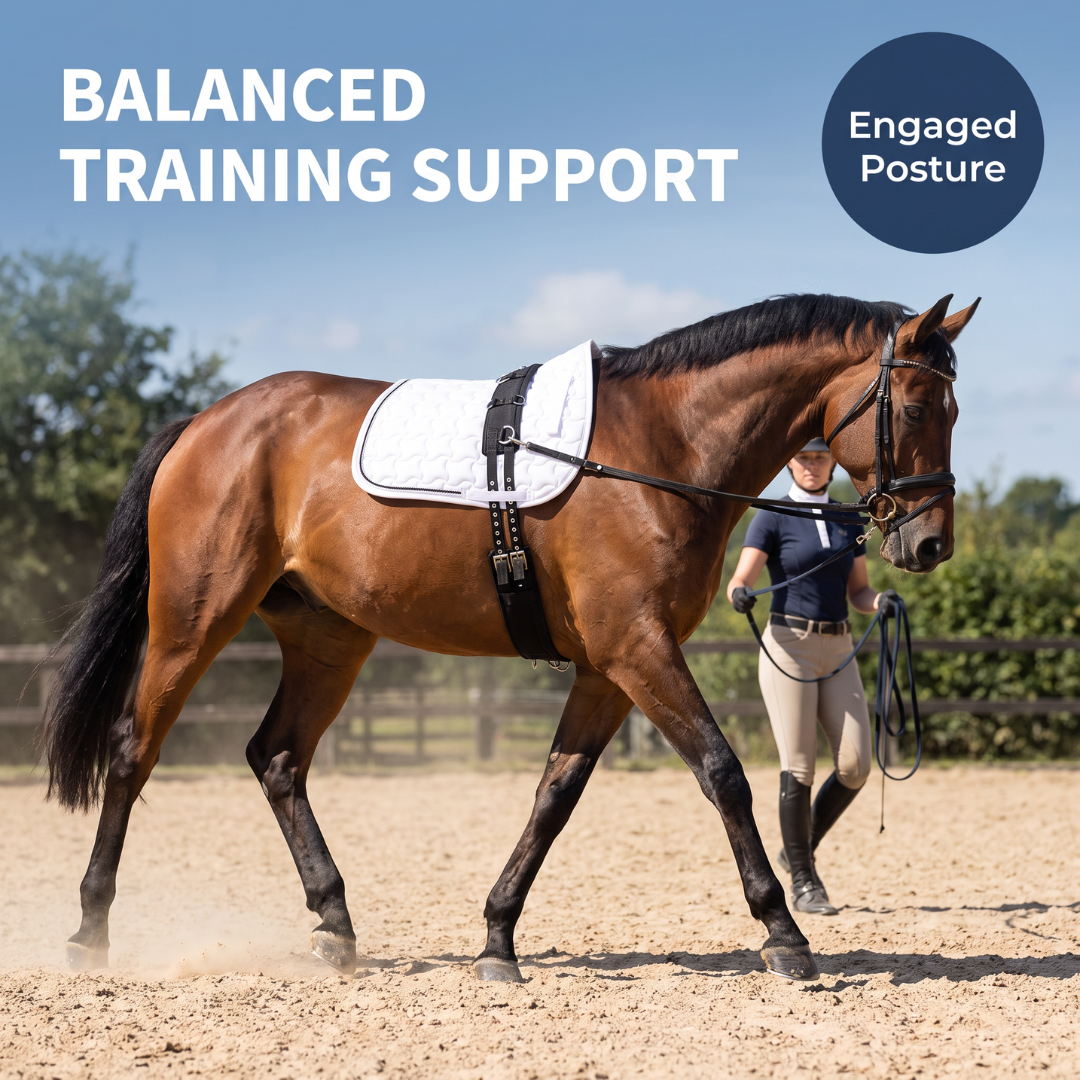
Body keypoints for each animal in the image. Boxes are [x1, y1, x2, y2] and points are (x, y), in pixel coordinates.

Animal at [42, 291, 977, 983]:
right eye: (916, 404)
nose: (930, 543)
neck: (662, 448)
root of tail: (207, 424)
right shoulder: (639, 650)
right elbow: (722, 774)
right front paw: (783, 932)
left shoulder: (609, 667)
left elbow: (555, 794)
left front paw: (497, 939)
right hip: (193, 622)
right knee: (133, 748)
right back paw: (88, 931)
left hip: (329, 640)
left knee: (276, 758)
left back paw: (335, 925)